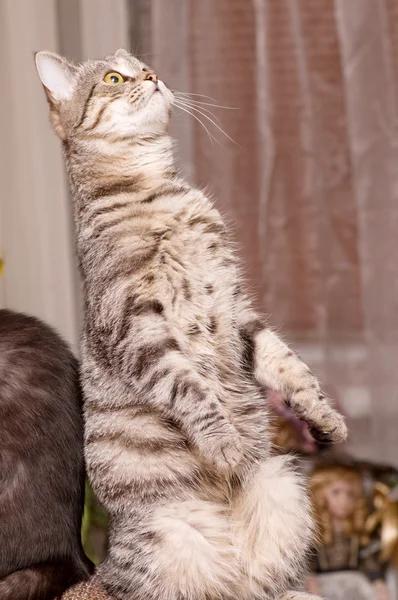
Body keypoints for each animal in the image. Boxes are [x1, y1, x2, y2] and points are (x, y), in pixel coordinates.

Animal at [35, 49, 346, 600]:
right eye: (114, 77)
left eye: (140, 63)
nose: (152, 75)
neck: (159, 192)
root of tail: (102, 570)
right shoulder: (140, 331)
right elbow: (193, 391)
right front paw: (225, 444)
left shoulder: (238, 311)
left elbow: (289, 364)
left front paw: (324, 414)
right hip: (171, 538)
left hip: (283, 486)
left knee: (259, 587)